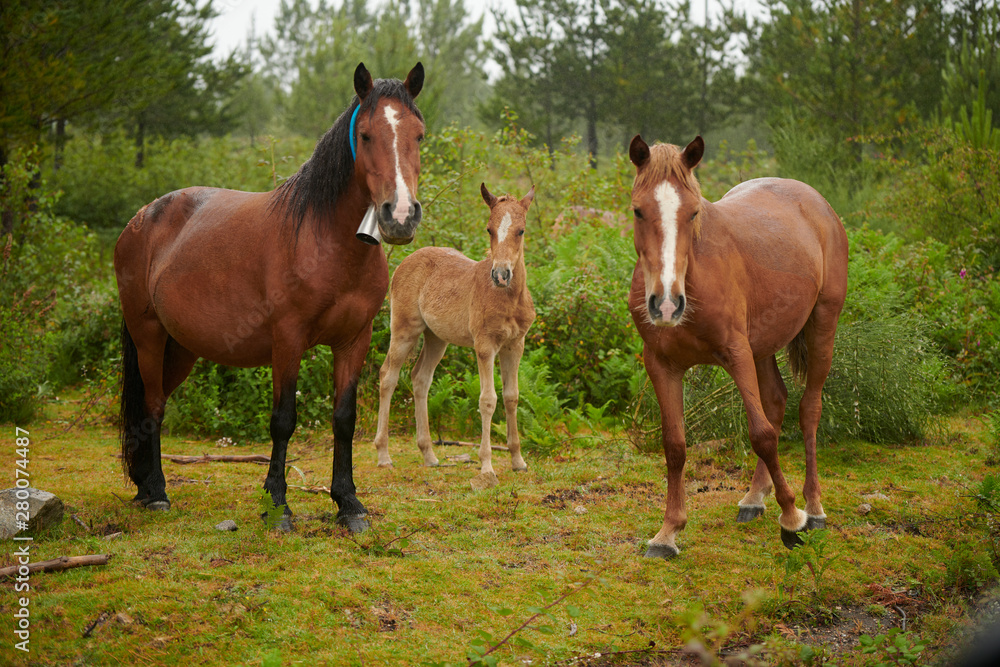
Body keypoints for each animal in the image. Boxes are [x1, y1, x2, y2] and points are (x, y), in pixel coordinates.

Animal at [114, 62, 426, 533]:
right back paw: (157, 494)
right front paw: (277, 506)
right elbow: (283, 421)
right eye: (367, 135)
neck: (327, 241)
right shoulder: (288, 339)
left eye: (419, 135)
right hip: (147, 335)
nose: (400, 215)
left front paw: (348, 503)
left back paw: (144, 486)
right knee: (152, 406)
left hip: (181, 347)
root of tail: (141, 218)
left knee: (156, 405)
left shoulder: (354, 340)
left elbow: (344, 419)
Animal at [373, 183, 536, 489]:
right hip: (404, 331)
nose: (501, 274)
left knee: (420, 379)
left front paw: (518, 461)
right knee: (388, 375)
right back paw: (384, 455)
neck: (508, 299)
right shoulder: (485, 346)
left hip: (437, 338)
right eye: (489, 229)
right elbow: (488, 400)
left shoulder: (515, 345)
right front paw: (486, 466)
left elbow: (511, 397)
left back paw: (429, 454)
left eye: (520, 230)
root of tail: (404, 262)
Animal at [627, 135, 848, 559]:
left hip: (822, 326)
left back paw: (813, 509)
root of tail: (818, 203)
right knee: (776, 400)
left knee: (809, 409)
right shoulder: (662, 365)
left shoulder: (737, 354)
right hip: (763, 346)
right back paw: (754, 499)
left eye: (694, 212)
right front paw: (667, 533)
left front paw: (791, 518)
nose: (667, 304)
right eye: (637, 210)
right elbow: (674, 445)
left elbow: (761, 435)